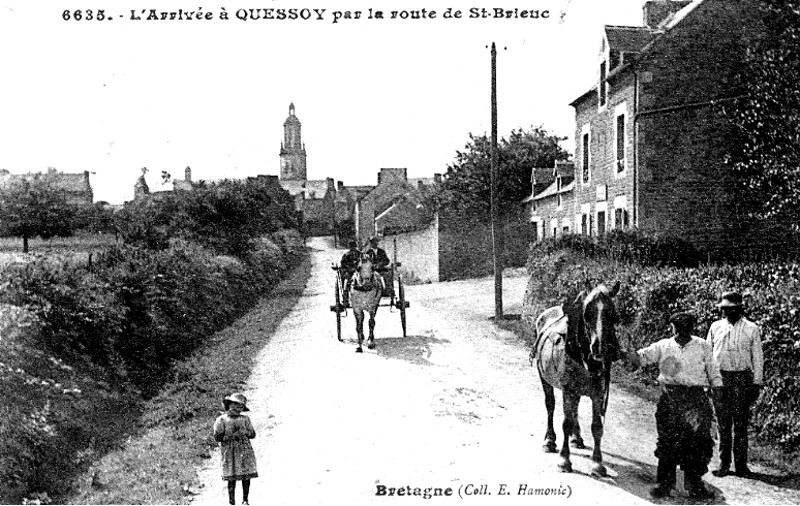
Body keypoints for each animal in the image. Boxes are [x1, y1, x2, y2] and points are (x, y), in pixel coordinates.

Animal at [536, 282, 620, 476]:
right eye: (587, 314)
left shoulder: (598, 393)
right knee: (550, 405)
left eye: (613, 315)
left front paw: (597, 463)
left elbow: (597, 426)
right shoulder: (568, 390)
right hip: (545, 379)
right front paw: (564, 460)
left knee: (575, 410)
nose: (599, 347)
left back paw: (577, 438)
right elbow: (565, 423)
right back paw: (550, 440)